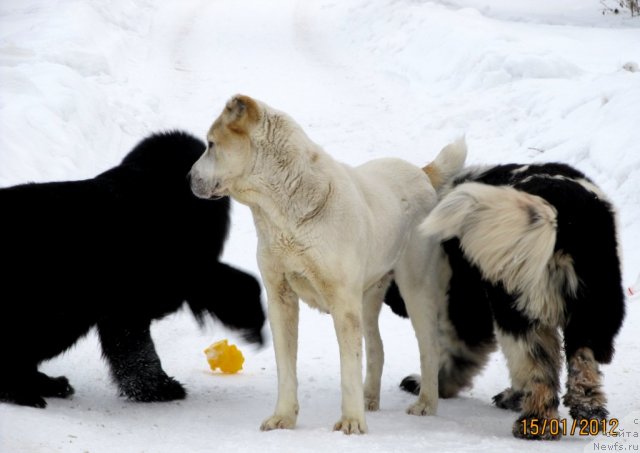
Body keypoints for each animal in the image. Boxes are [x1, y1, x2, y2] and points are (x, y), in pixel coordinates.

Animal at [0, 130, 264, 406]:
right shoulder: (140, 297)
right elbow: (138, 350)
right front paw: (159, 388)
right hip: (53, 313)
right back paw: (24, 391)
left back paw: (45, 385)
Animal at [189, 93, 464, 432]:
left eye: (211, 144)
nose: (188, 178)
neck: (283, 207)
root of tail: (421, 173)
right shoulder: (280, 298)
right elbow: (286, 367)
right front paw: (283, 417)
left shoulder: (343, 304)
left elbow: (348, 368)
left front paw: (351, 423)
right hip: (368, 296)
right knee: (376, 347)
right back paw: (370, 399)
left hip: (416, 288)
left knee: (428, 347)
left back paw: (425, 403)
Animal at [384, 162, 624, 438]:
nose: (391, 304)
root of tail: (563, 212)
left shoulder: (464, 303)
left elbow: (456, 351)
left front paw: (430, 384)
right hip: (594, 306)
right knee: (583, 360)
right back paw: (588, 411)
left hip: (516, 307)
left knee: (537, 365)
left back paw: (535, 423)